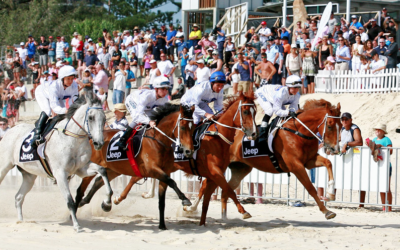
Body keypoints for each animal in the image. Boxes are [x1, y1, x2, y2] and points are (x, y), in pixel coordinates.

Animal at [82, 94, 260, 227]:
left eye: (255, 111)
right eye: (245, 111)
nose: (253, 133)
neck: (216, 137)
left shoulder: (213, 173)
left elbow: (209, 191)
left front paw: (194, 212)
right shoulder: (214, 171)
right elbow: (228, 190)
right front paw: (244, 211)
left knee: (134, 176)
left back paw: (122, 198)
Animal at [186, 99, 342, 221]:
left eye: (340, 126)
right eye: (330, 126)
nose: (335, 149)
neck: (298, 132)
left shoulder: (309, 161)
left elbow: (328, 163)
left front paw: (330, 193)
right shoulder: (296, 166)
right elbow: (311, 188)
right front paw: (327, 211)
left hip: (240, 168)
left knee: (225, 190)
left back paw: (226, 216)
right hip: (217, 166)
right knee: (206, 185)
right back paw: (191, 208)